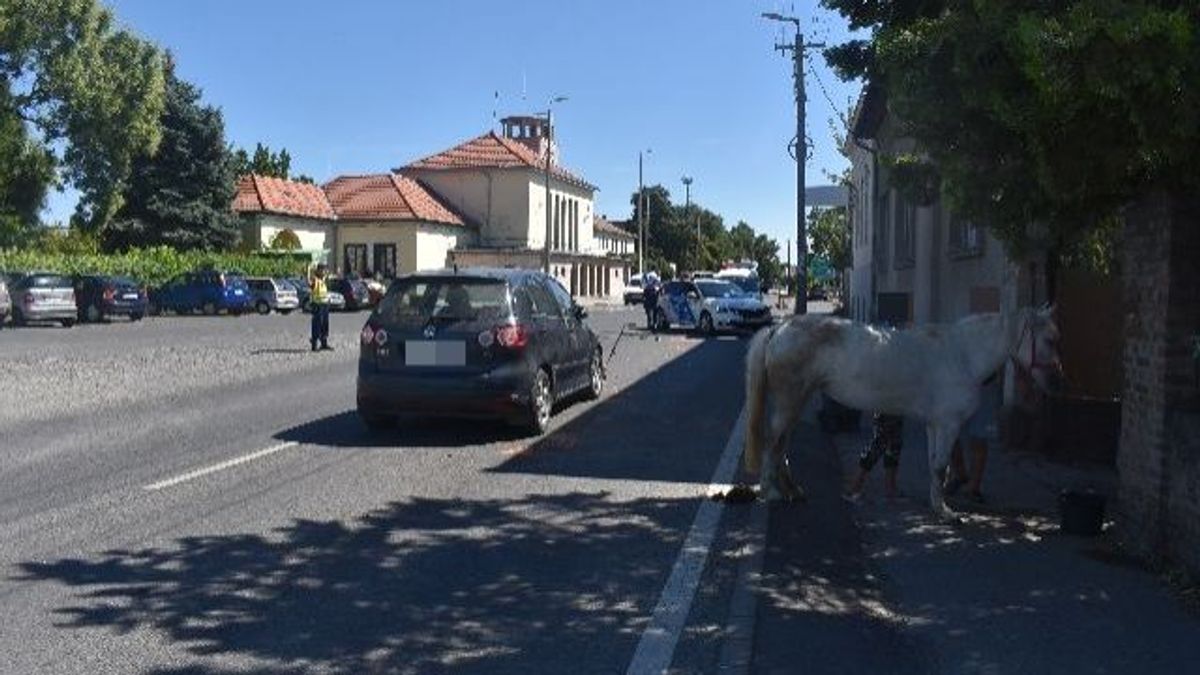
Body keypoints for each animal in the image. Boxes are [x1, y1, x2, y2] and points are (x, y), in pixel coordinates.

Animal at [744, 305, 1065, 514]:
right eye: (1049, 340)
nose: (1057, 382)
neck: (963, 355)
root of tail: (780, 328)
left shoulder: (935, 425)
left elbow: (936, 465)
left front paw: (937, 504)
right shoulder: (948, 425)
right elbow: (940, 465)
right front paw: (945, 512)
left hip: (797, 401)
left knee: (782, 444)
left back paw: (792, 491)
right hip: (789, 402)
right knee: (773, 443)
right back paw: (771, 493)